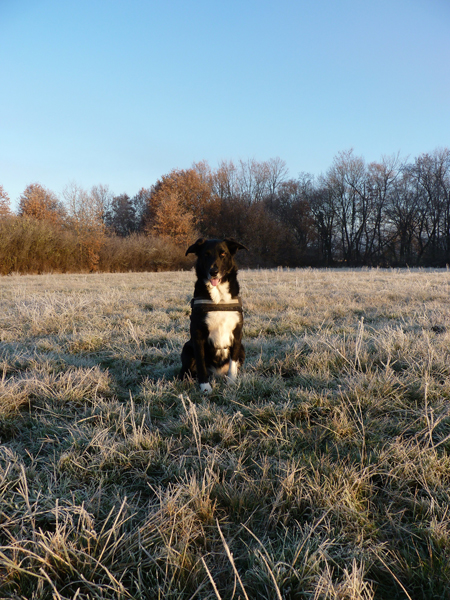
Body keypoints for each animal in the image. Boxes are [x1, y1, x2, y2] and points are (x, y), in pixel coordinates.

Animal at [180, 237, 250, 396]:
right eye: (206, 255)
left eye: (223, 254)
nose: (213, 272)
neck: (218, 297)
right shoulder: (197, 334)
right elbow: (200, 363)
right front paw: (205, 387)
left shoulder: (237, 334)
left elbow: (232, 364)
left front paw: (231, 383)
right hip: (187, 348)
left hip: (242, 348)